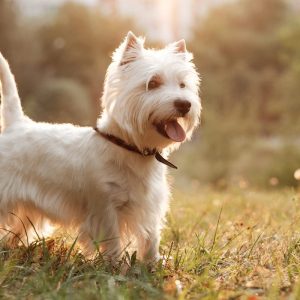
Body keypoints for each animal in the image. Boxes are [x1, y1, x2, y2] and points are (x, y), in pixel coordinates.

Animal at [0, 32, 202, 262]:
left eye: (182, 85)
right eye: (153, 83)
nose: (184, 104)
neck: (131, 147)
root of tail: (16, 124)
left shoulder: (149, 205)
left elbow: (151, 238)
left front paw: (153, 263)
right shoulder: (105, 207)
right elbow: (112, 240)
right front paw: (115, 264)